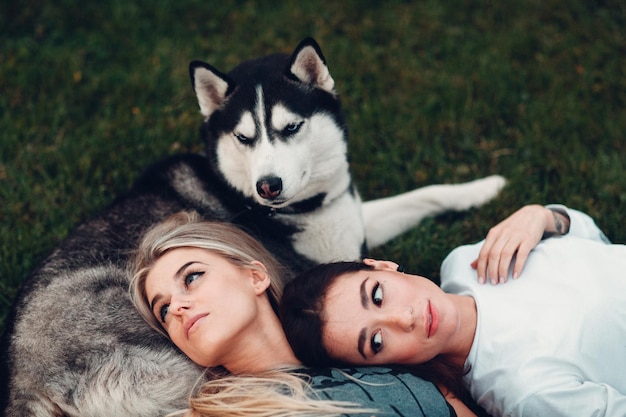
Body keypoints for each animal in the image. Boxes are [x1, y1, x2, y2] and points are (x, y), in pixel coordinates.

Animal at [0, 37, 502, 414]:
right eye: (244, 137)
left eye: (292, 127)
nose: (268, 185)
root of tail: (27, 394)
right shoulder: (323, 263)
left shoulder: (348, 218)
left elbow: (420, 195)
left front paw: (482, 188)